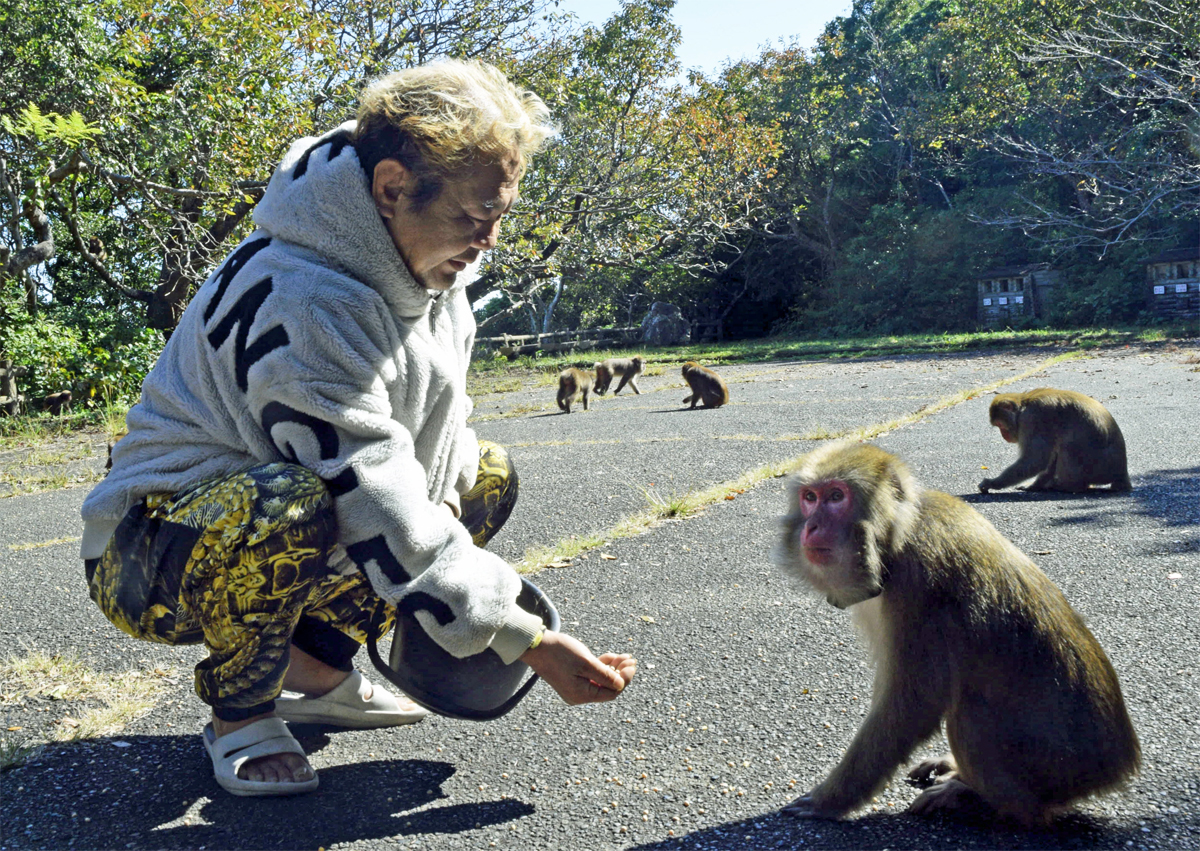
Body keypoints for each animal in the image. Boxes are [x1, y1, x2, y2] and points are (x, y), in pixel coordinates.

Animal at [773, 440, 1140, 827]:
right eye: (809, 497)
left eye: (836, 497)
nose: (811, 527)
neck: (899, 537)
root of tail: (1117, 765)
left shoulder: (921, 585)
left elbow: (912, 704)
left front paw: (829, 800)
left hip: (1052, 767)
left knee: (970, 713)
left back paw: (979, 799)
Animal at [980, 387, 1131, 493]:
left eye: (1000, 425)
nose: (1004, 435)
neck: (1023, 406)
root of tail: (1122, 473)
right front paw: (1034, 485)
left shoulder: (1032, 420)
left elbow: (1036, 460)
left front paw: (992, 483)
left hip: (1097, 468)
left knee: (1068, 446)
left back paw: (1070, 486)